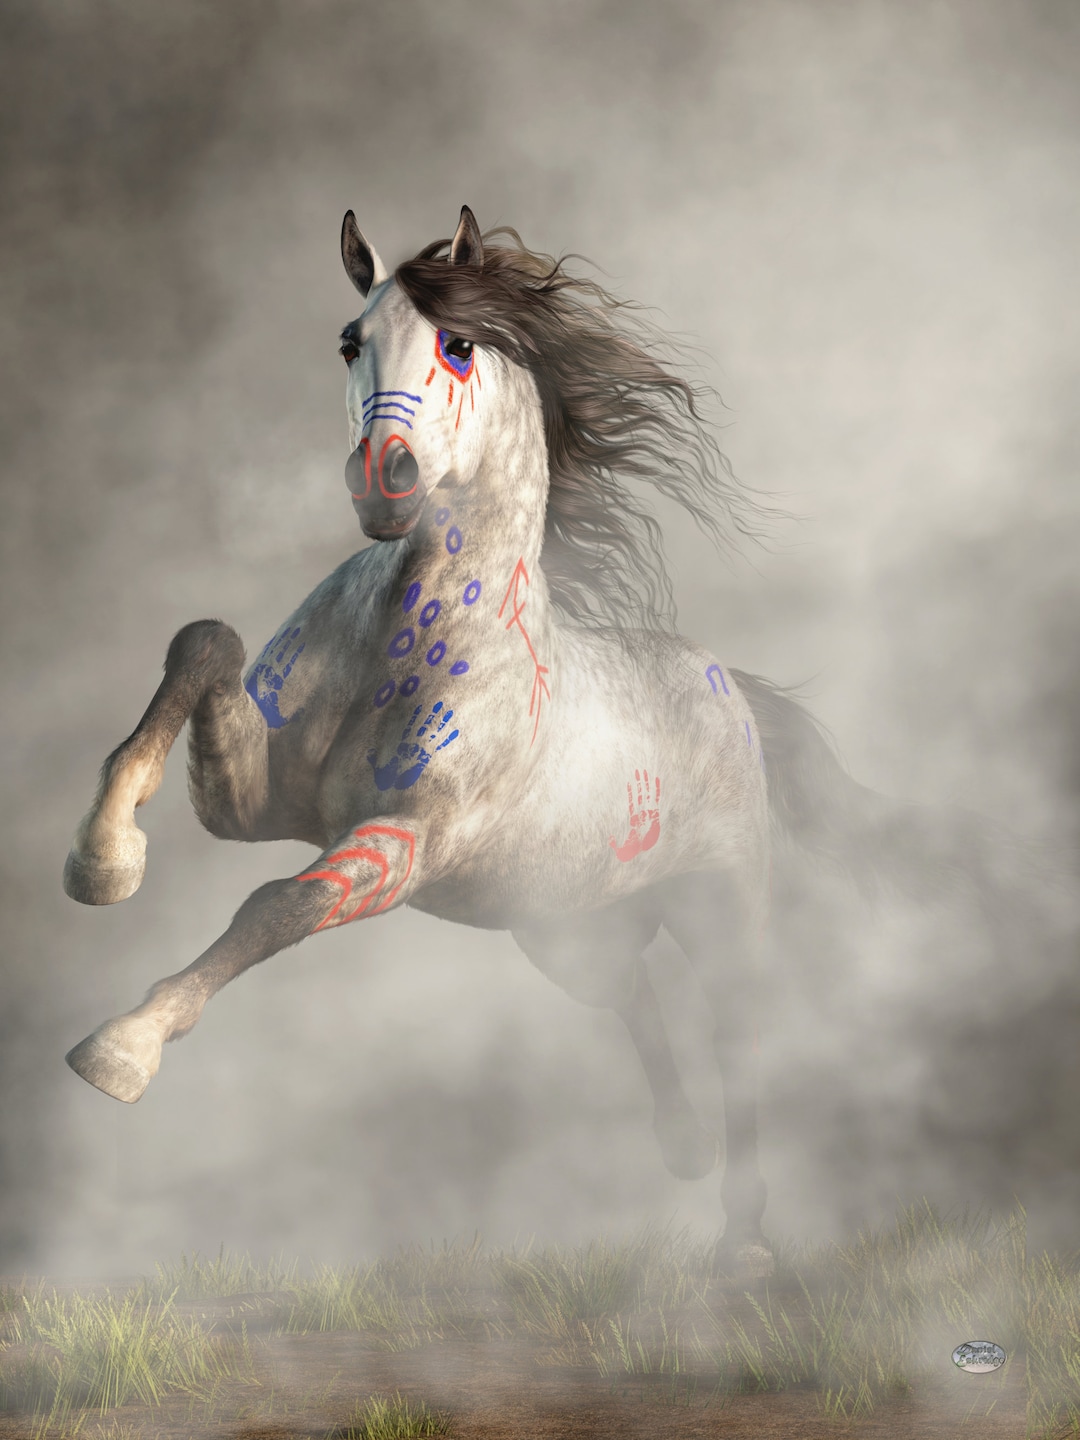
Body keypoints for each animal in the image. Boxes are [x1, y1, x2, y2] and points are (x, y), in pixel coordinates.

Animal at [61, 206, 984, 1277]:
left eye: (459, 345)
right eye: (348, 340)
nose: (385, 484)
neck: (410, 638)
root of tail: (729, 683)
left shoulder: (407, 841)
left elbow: (276, 906)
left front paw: (121, 1050)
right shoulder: (251, 800)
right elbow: (205, 642)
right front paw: (103, 862)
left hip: (720, 902)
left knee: (739, 1032)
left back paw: (743, 1241)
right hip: (556, 924)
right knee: (629, 990)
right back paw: (683, 1148)